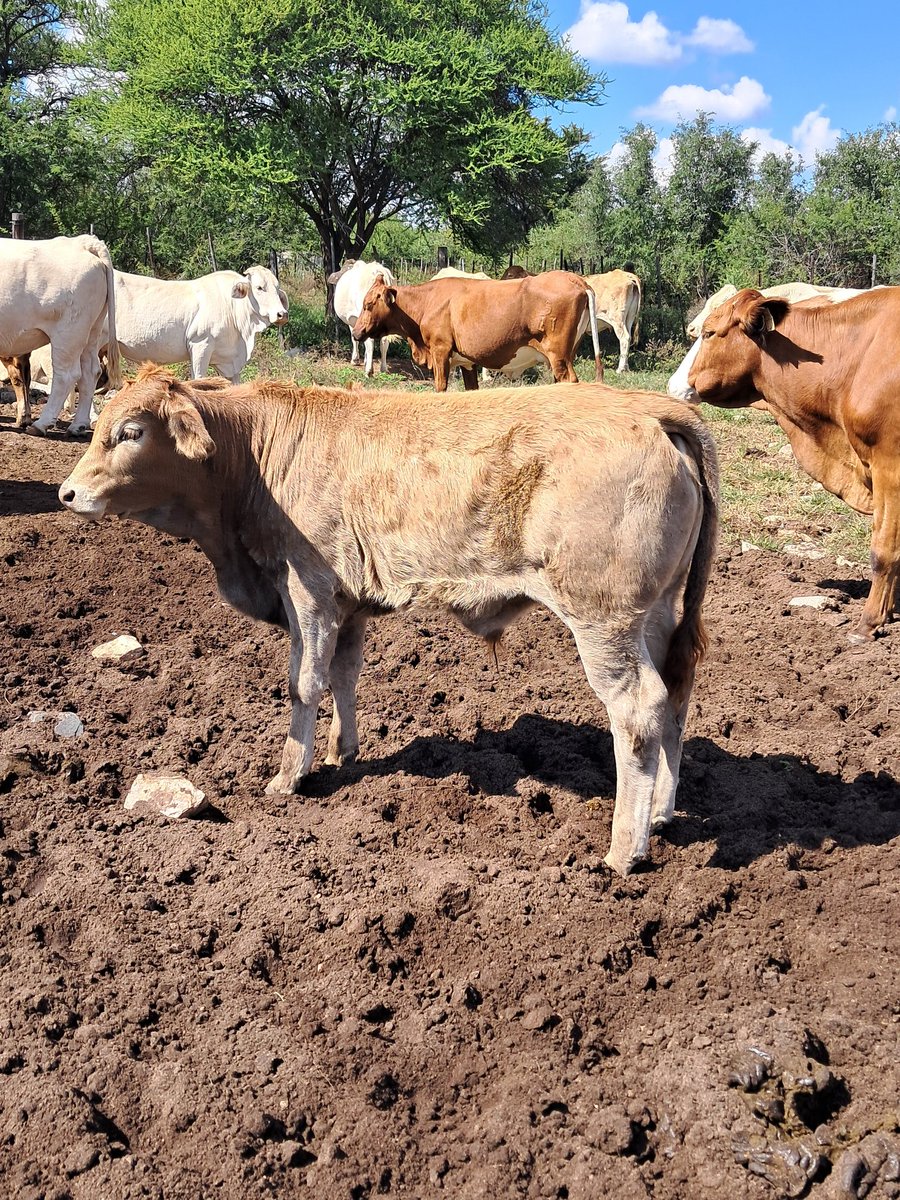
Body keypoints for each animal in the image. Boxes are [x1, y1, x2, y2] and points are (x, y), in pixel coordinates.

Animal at [0, 233, 122, 434]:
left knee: (66, 375)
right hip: (91, 331)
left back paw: (41, 424)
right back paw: (78, 425)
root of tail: (81, 242)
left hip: (68, 333)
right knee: (90, 371)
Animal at [59, 365, 718, 876]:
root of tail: (653, 412)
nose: (66, 493)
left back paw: (624, 848)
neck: (254, 454)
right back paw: (661, 814)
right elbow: (344, 676)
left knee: (638, 712)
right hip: (657, 616)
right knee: (675, 698)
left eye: (130, 432)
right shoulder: (348, 604)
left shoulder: (307, 589)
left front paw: (287, 777)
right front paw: (342, 752)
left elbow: (304, 684)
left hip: (605, 621)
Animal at [352, 271, 602, 390]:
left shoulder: (440, 351)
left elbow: (440, 386)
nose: (355, 332)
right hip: (566, 354)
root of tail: (575, 278)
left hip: (558, 356)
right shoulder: (467, 362)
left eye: (368, 304)